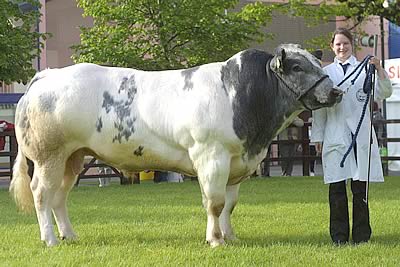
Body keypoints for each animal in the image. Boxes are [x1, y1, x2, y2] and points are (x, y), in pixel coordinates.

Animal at [10, 44, 340, 247]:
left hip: (73, 156)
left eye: (316, 62)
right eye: (296, 67)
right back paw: (50, 239)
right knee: (42, 194)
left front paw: (230, 236)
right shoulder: (211, 155)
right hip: (49, 155)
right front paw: (215, 240)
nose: (335, 91)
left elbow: (229, 204)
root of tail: (48, 74)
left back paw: (69, 235)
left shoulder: (237, 163)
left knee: (60, 196)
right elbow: (214, 202)